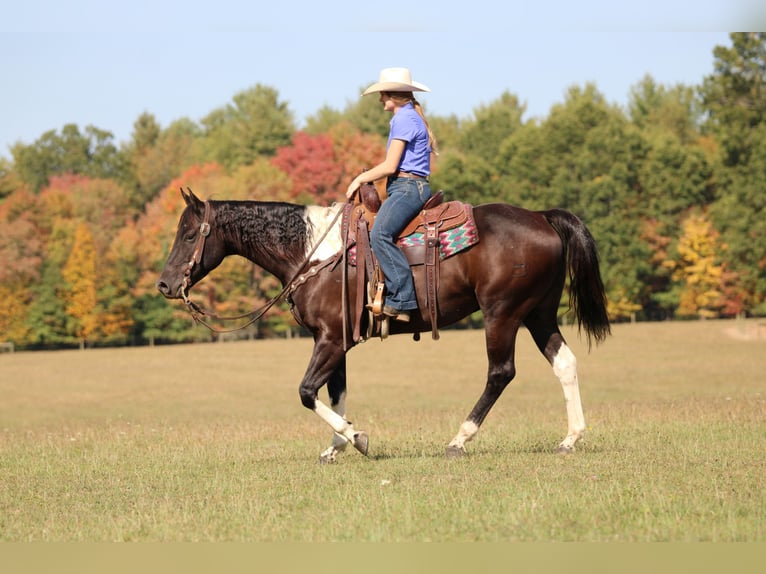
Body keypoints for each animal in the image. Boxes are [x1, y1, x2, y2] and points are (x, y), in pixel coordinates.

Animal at [156, 188, 610, 463]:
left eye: (188, 233)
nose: (165, 284)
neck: (313, 253)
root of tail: (542, 216)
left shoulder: (329, 340)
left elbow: (306, 392)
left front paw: (356, 438)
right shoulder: (335, 340)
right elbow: (335, 391)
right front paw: (336, 446)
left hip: (502, 313)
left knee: (500, 372)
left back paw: (459, 439)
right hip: (538, 314)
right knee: (564, 364)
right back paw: (571, 438)